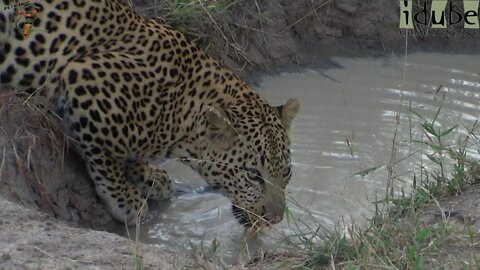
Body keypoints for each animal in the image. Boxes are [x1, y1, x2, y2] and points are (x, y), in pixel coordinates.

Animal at [0, 0, 298, 227]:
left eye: (286, 172)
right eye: (253, 175)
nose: (275, 219)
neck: (181, 107)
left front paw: (149, 176)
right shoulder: (84, 77)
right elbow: (105, 154)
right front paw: (125, 199)